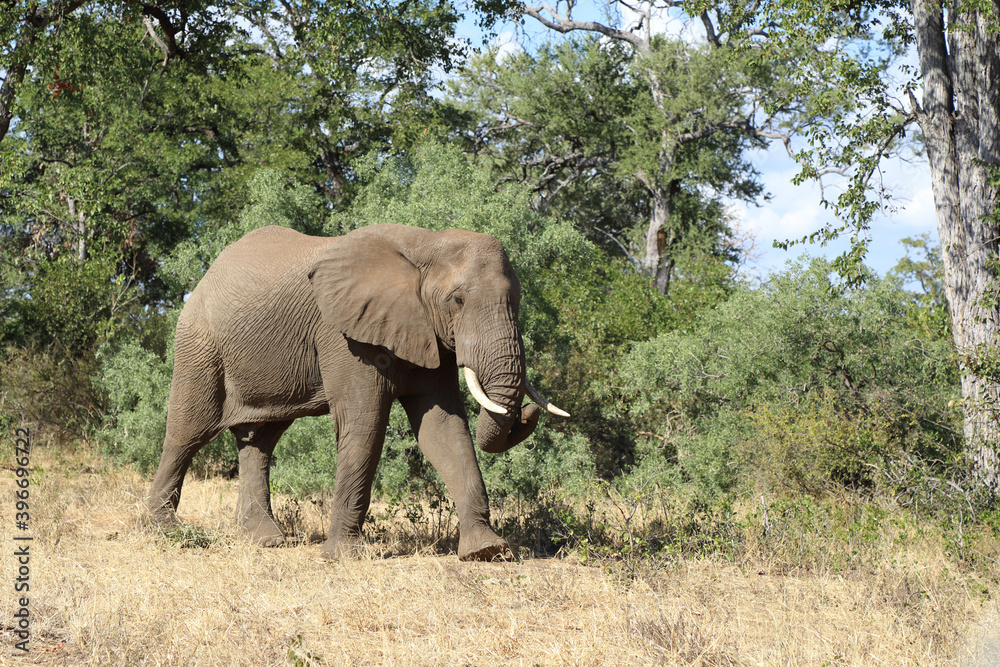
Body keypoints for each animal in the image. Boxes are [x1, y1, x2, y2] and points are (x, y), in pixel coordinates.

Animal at [148, 226, 572, 564]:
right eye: (458, 300)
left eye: (517, 300)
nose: (530, 412)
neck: (424, 245)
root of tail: (206, 275)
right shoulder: (343, 335)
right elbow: (365, 425)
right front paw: (343, 557)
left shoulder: (425, 332)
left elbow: (444, 431)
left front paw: (486, 551)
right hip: (200, 344)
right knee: (188, 431)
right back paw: (165, 530)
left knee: (261, 439)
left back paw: (266, 541)